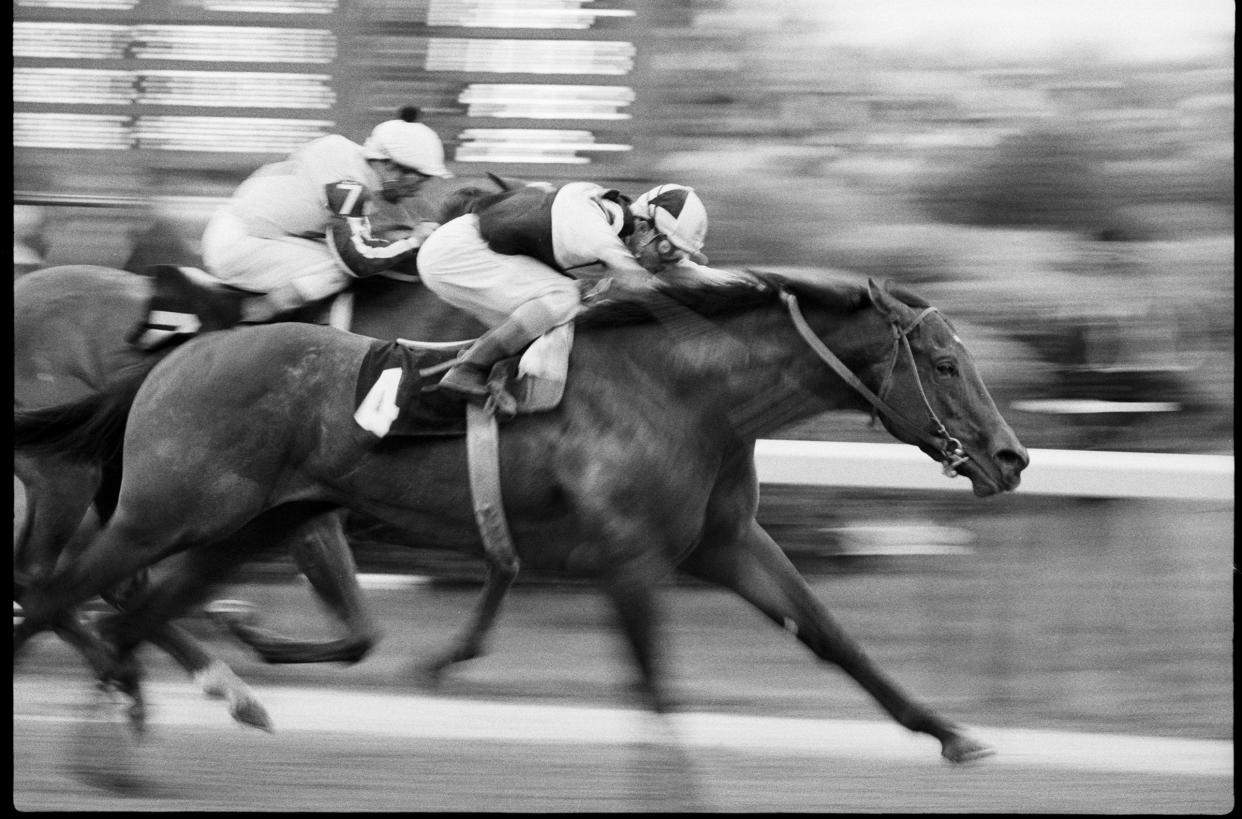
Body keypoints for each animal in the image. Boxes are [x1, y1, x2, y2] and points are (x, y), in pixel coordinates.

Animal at [14, 272, 1028, 765]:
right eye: (944, 362)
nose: (1013, 456)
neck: (687, 392)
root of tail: (176, 355)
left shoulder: (727, 543)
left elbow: (833, 637)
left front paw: (951, 732)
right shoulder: (629, 560)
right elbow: (658, 693)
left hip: (246, 526)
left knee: (122, 611)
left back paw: (178, 707)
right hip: (161, 513)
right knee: (60, 591)